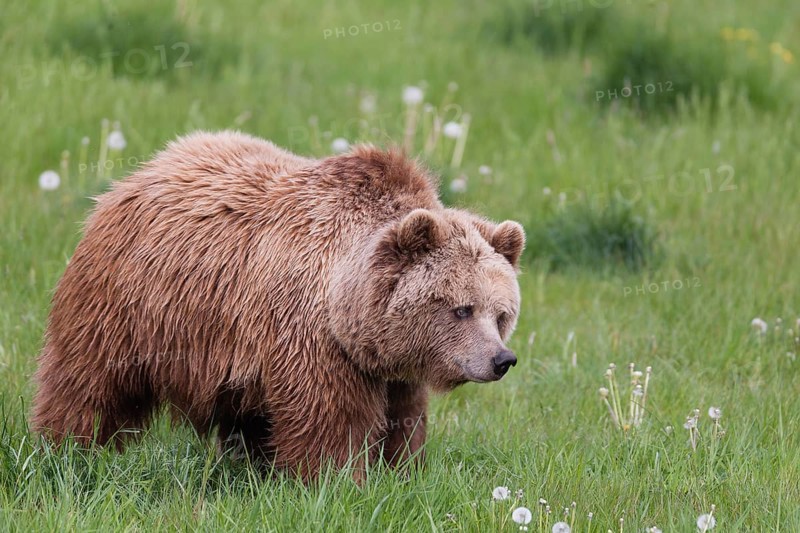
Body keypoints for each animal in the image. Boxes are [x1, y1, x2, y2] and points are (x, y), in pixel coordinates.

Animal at [31, 131, 525, 481]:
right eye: (461, 308)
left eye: (501, 314)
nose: (501, 359)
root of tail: (140, 171)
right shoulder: (313, 340)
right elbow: (330, 421)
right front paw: (337, 480)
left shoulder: (388, 368)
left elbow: (403, 421)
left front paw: (401, 472)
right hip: (128, 305)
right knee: (88, 380)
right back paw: (67, 447)